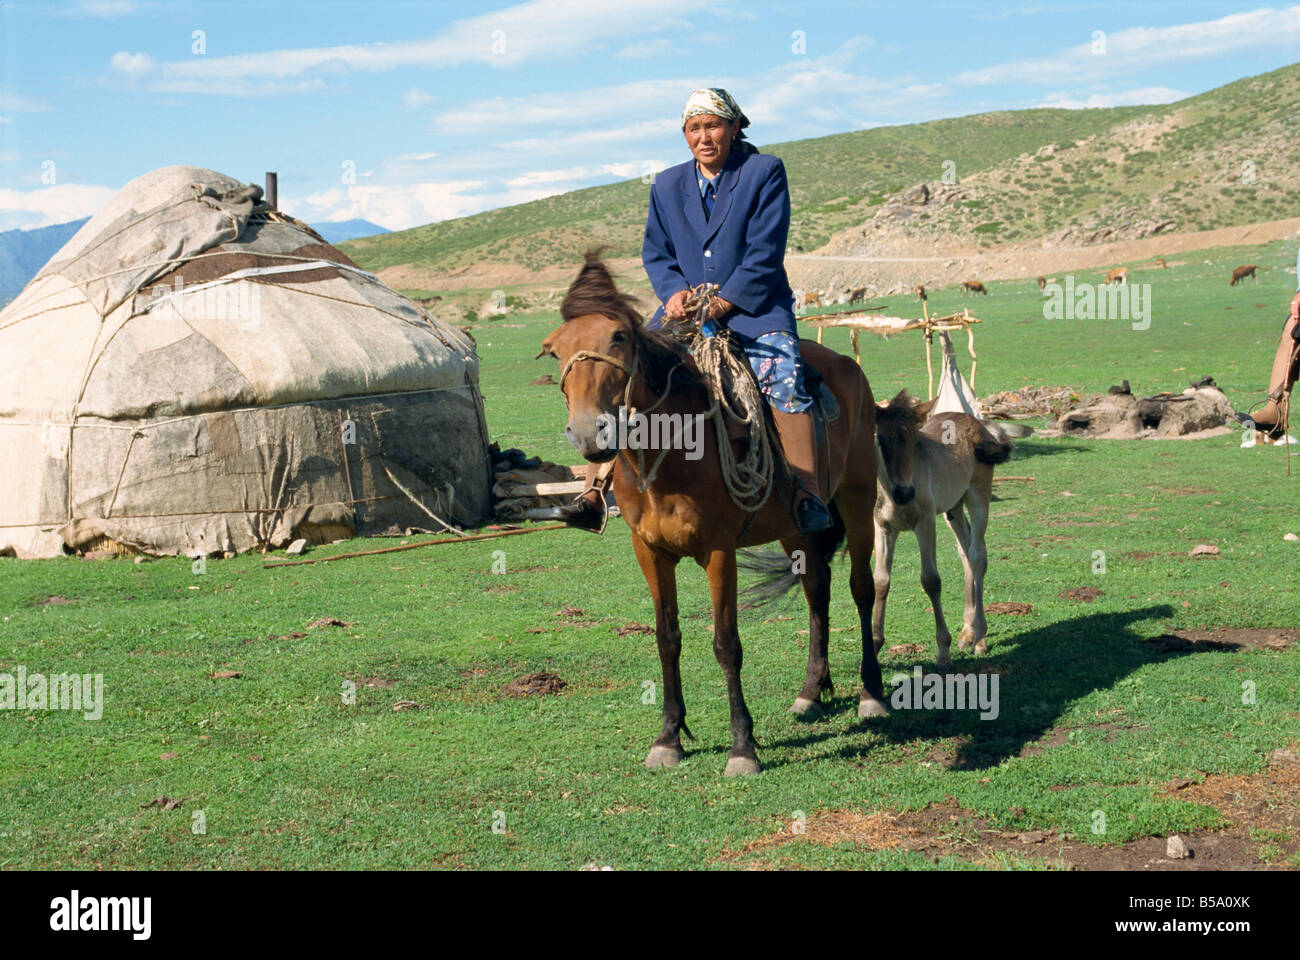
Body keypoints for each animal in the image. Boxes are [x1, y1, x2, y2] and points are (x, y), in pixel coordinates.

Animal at [535, 252, 883, 770]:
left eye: (618, 337)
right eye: (555, 350)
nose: (588, 433)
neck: (671, 455)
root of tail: (847, 367)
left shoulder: (719, 551)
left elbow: (726, 644)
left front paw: (742, 746)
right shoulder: (650, 552)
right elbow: (667, 638)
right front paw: (668, 738)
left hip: (858, 500)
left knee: (862, 588)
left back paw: (871, 693)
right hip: (795, 527)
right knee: (816, 589)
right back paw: (811, 690)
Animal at [873, 390, 1013, 666]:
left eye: (917, 443)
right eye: (881, 442)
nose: (904, 492)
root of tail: (977, 423)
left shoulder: (925, 522)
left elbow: (931, 581)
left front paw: (943, 651)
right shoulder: (882, 527)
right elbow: (881, 581)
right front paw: (874, 644)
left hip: (978, 498)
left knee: (978, 555)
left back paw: (979, 639)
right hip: (953, 509)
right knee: (965, 552)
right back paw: (967, 633)